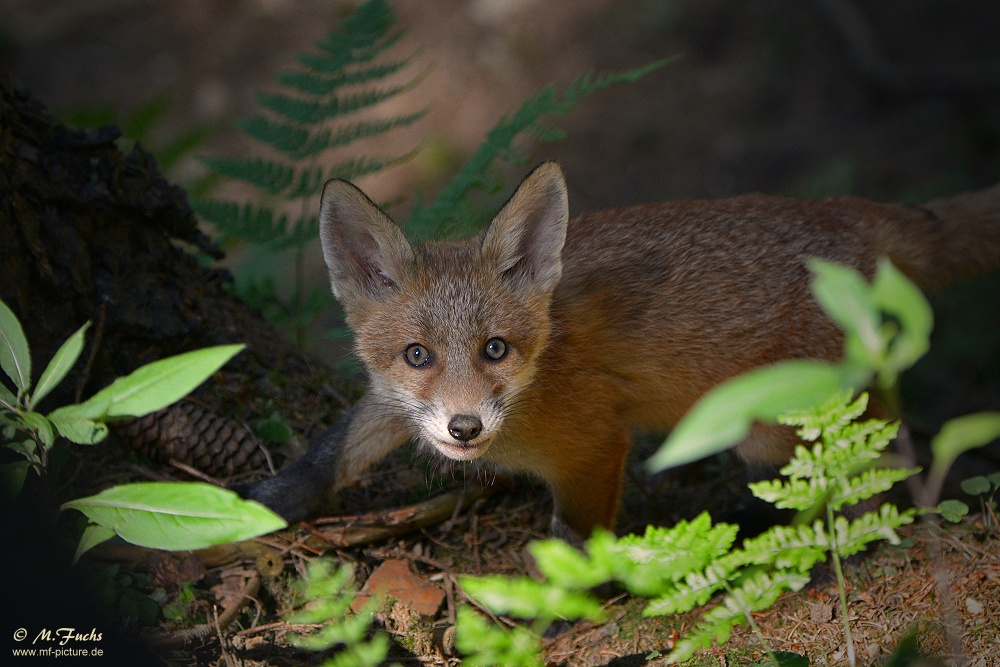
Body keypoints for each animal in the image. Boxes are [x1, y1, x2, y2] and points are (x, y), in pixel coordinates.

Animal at [242, 164, 1000, 540]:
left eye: (496, 349)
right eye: (417, 355)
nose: (464, 427)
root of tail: (844, 211)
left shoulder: (596, 445)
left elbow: (573, 543)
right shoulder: (392, 402)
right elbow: (326, 456)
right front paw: (256, 507)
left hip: (772, 430)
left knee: (855, 476)